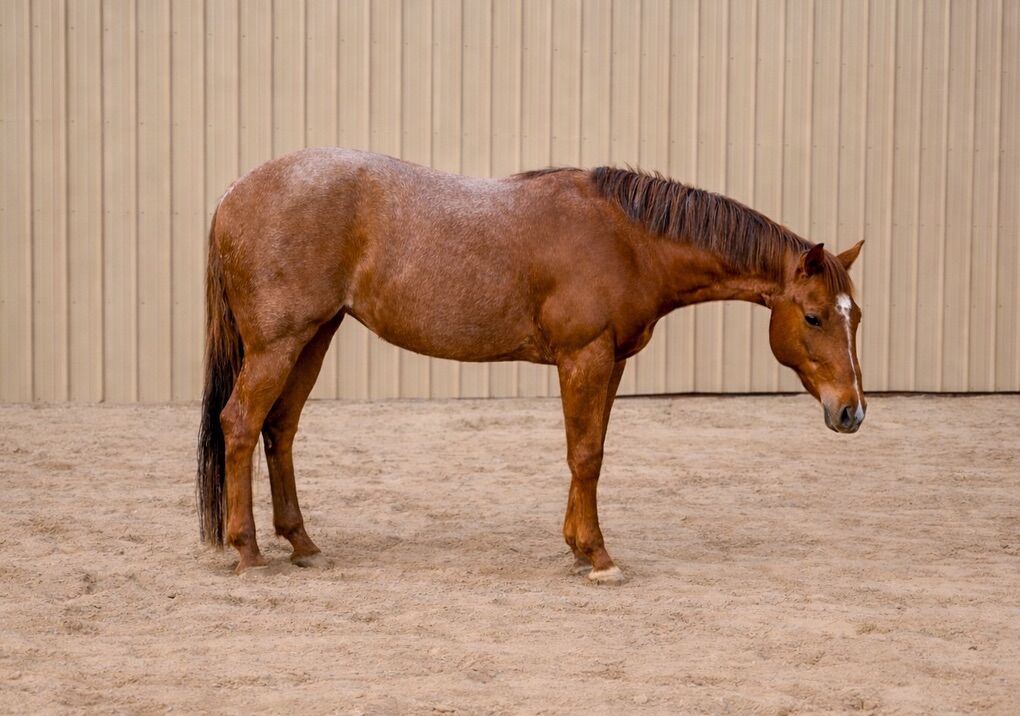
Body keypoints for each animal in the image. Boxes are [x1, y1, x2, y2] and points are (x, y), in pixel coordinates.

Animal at [197, 148, 866, 582]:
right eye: (813, 317)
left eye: (854, 315)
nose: (852, 412)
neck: (626, 238)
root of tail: (232, 194)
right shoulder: (584, 357)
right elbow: (584, 454)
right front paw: (598, 558)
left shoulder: (610, 363)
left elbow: (592, 450)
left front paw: (577, 548)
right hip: (279, 343)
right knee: (240, 424)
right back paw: (248, 552)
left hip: (314, 336)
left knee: (279, 430)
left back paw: (302, 543)